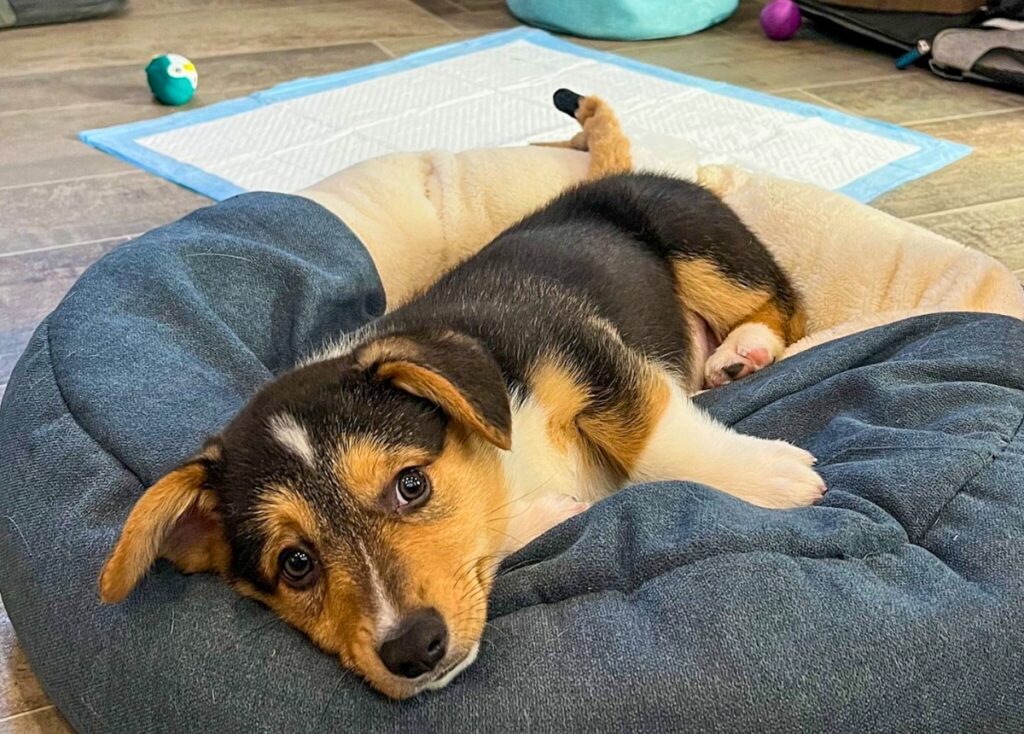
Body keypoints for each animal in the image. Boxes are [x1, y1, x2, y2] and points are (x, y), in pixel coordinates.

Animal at [101, 91, 823, 700]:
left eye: (411, 485)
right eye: (296, 563)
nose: (413, 649)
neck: (507, 461)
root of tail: (605, 178)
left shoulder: (588, 354)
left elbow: (660, 443)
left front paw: (773, 479)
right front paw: (545, 516)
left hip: (700, 246)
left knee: (787, 304)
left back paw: (746, 349)